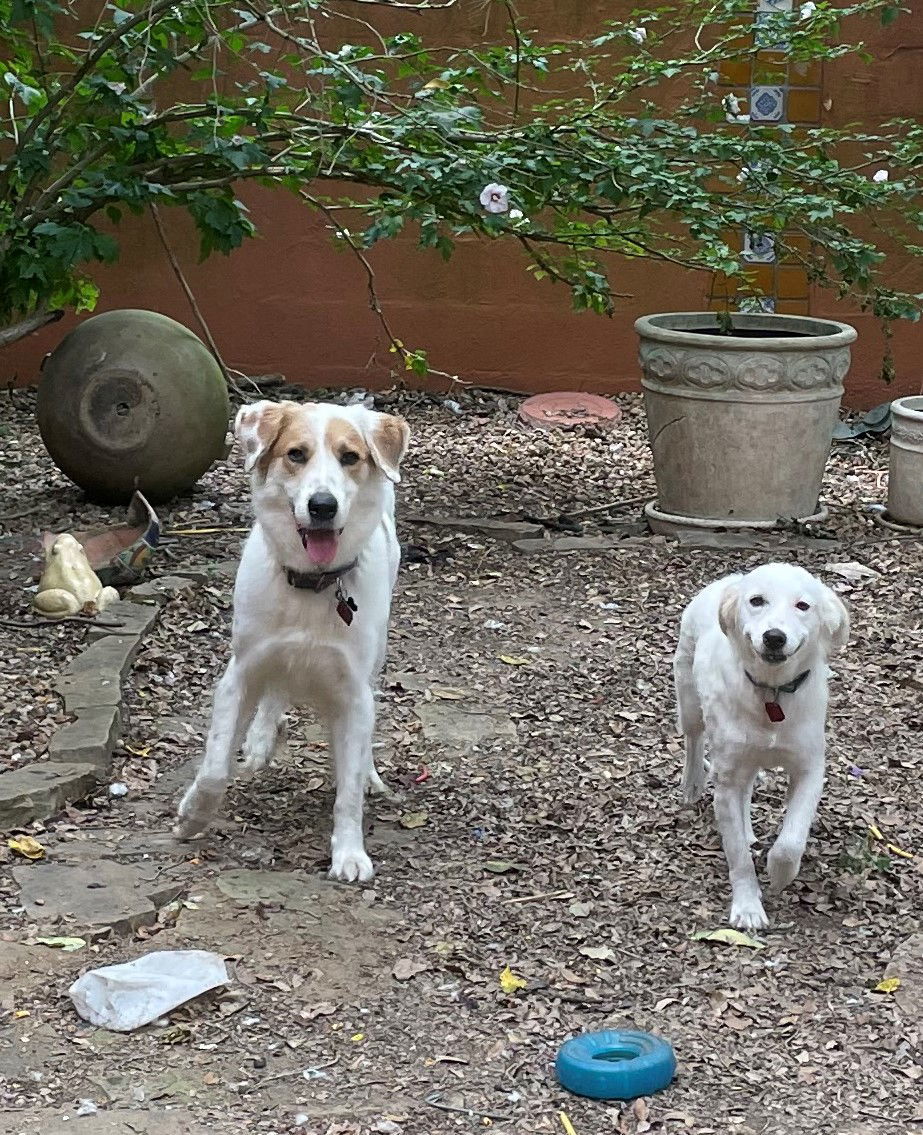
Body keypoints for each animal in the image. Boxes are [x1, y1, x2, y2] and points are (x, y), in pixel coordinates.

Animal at [173, 399, 410, 885]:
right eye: (296, 454)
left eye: (350, 457)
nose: (322, 506)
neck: (312, 585)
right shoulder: (240, 672)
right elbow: (214, 766)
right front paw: (193, 815)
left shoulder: (354, 692)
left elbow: (349, 791)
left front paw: (349, 853)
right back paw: (261, 739)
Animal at [667, 565, 849, 930]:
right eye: (756, 601)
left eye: (803, 606)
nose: (774, 637)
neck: (772, 692)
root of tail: (729, 579)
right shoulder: (726, 779)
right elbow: (737, 854)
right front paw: (748, 906)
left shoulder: (810, 769)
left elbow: (791, 841)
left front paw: (779, 873)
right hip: (690, 700)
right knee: (693, 740)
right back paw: (692, 784)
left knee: (747, 790)